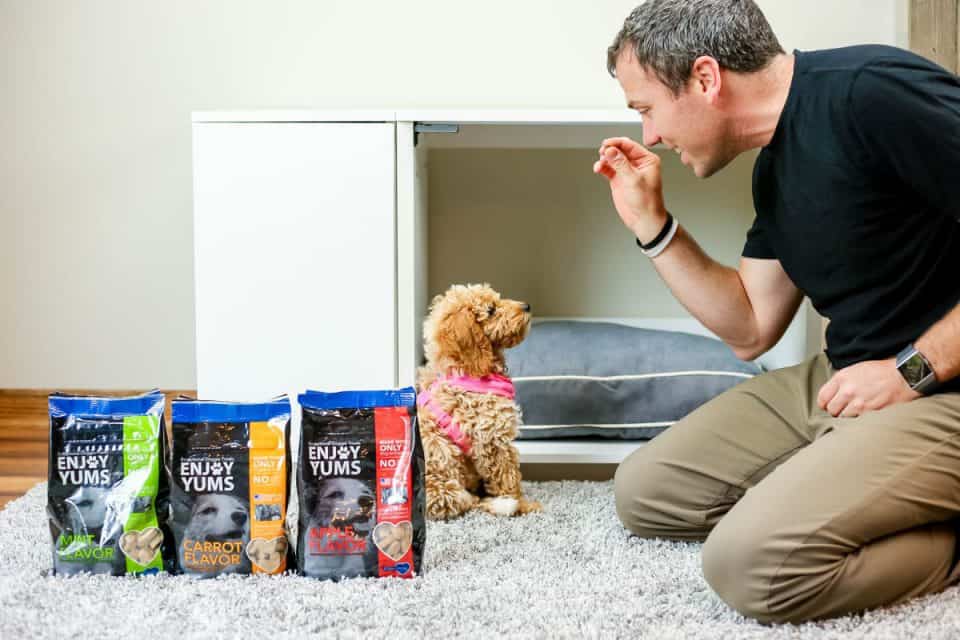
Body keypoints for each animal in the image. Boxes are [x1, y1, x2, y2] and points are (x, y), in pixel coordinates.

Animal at [417, 283, 542, 520]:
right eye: (491, 310)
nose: (527, 306)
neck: (465, 369)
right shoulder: (493, 440)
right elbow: (508, 478)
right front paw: (524, 505)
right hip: (443, 489)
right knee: (465, 502)